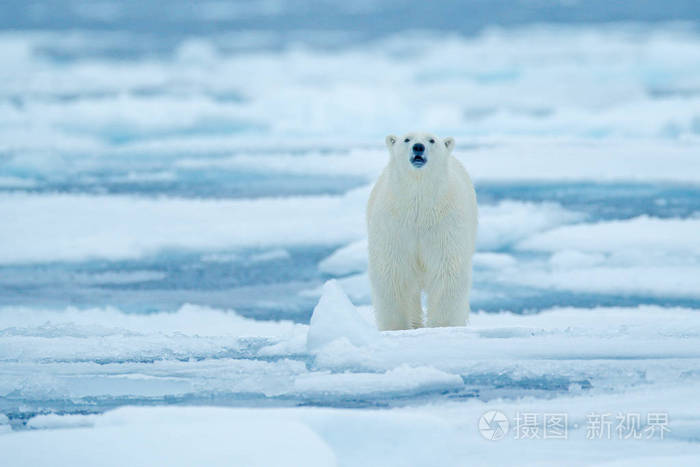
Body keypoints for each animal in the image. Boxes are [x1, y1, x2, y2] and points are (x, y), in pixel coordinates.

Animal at [366, 130, 476, 330]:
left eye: (431, 140)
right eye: (406, 139)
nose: (418, 147)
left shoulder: (445, 226)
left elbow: (446, 270)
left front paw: (441, 325)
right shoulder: (394, 226)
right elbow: (393, 271)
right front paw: (397, 327)